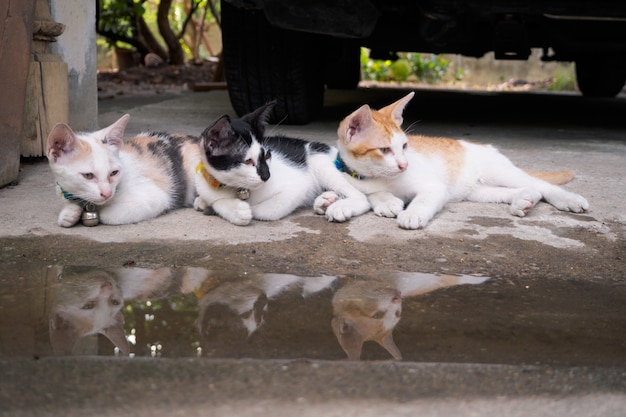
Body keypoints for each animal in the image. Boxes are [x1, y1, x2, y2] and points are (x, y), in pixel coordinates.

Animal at [47, 114, 202, 226]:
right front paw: (70, 212)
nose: (107, 193)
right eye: (88, 175)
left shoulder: (157, 198)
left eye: (114, 172)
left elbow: (107, 216)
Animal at [194, 101, 370, 224]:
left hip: (320, 161)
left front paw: (240, 210)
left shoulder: (298, 187)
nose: (267, 176)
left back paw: (340, 206)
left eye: (267, 155)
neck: (237, 188)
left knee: (361, 197)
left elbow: (263, 211)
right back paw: (325, 200)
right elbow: (213, 200)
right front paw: (226, 207)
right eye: (248, 161)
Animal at [330, 92, 588, 229]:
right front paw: (385, 201)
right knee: (524, 190)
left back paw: (569, 200)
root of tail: (486, 146)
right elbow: (372, 194)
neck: (377, 177)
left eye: (404, 146)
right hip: (478, 191)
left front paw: (412, 213)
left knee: (542, 185)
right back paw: (523, 201)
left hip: (499, 171)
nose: (404, 165)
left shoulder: (434, 186)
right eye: (384, 150)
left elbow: (423, 199)